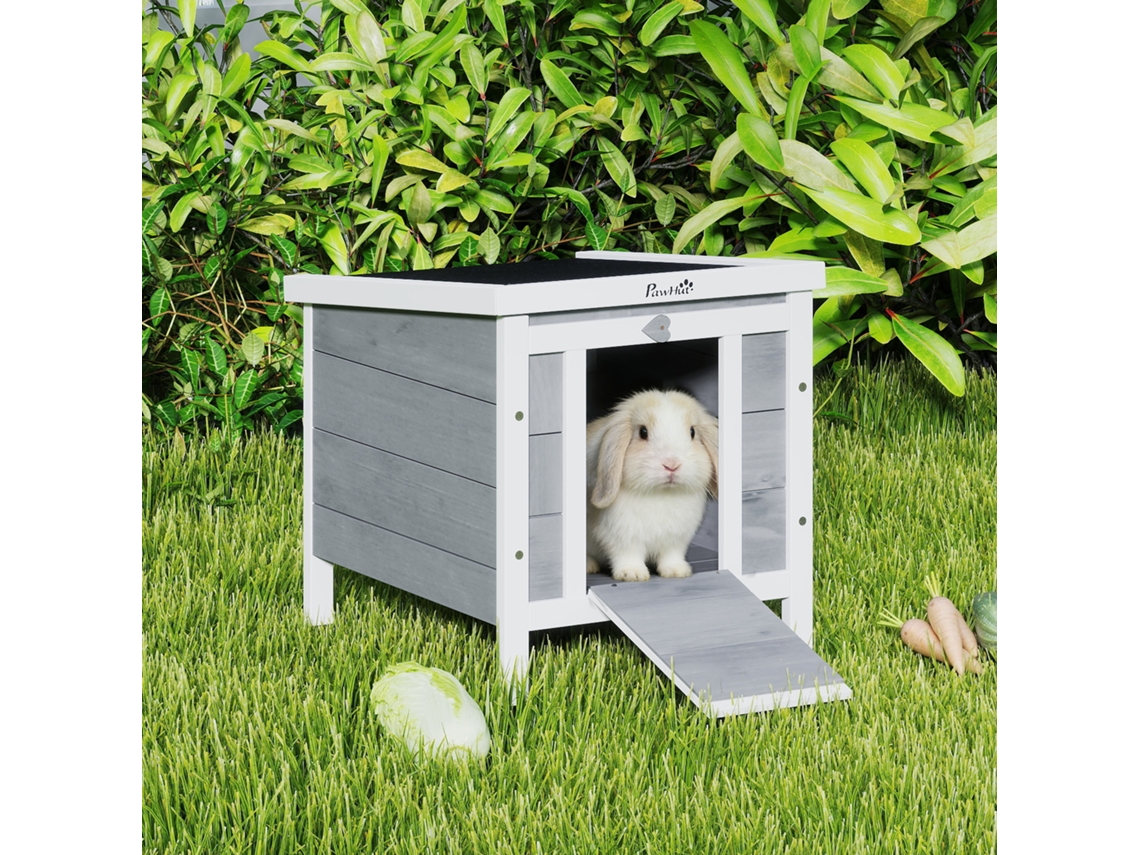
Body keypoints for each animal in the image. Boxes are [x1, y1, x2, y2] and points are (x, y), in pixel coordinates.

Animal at [585, 389, 718, 582]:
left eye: (692, 432)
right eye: (643, 432)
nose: (672, 465)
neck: (661, 493)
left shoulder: (676, 540)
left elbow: (671, 556)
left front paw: (677, 571)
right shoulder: (622, 536)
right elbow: (627, 554)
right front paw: (632, 574)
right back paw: (589, 566)